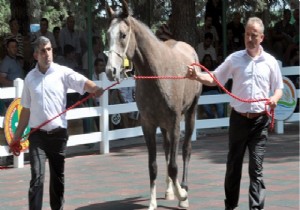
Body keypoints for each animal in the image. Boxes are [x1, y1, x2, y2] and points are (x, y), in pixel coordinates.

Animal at [105, 1, 202, 208]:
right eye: (108, 34)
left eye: (123, 35)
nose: (111, 70)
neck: (158, 73)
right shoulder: (148, 125)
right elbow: (153, 166)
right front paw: (152, 203)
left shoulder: (174, 123)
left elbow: (173, 165)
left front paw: (182, 196)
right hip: (163, 126)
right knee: (166, 150)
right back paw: (169, 190)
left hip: (190, 112)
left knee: (186, 149)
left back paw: (183, 188)